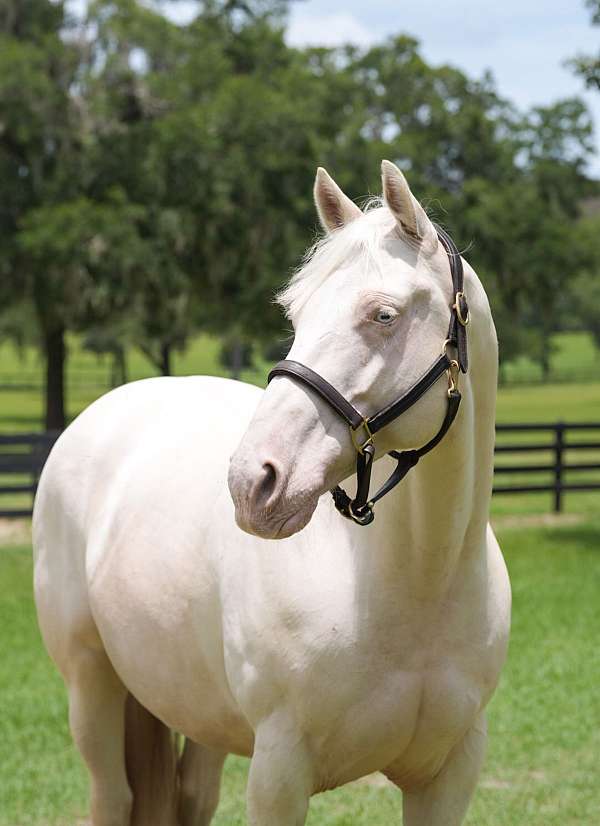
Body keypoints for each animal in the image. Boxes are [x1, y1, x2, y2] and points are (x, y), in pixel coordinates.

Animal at [33, 160, 511, 826]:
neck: (417, 588)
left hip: (199, 709)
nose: (252, 482)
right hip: (92, 686)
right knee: (113, 795)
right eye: (296, 317)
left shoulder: (449, 776)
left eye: (383, 315)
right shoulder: (279, 773)